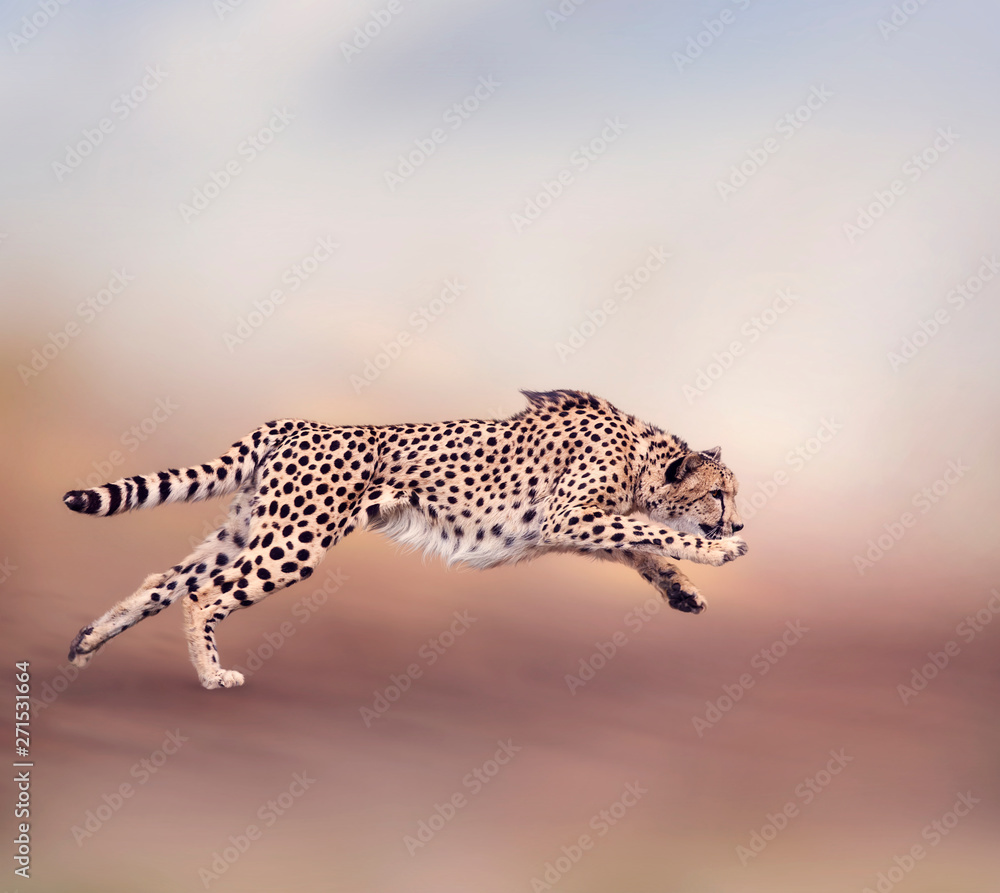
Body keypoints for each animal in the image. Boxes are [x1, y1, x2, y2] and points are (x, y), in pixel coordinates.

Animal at [63, 389, 748, 690]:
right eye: (720, 494)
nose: (739, 522)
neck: (642, 457)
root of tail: (299, 421)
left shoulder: (583, 522)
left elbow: (643, 546)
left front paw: (683, 591)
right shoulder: (568, 515)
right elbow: (650, 532)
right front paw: (719, 551)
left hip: (249, 532)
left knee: (165, 580)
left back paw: (87, 643)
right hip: (294, 542)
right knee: (203, 595)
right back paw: (210, 676)